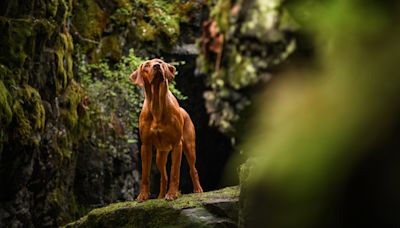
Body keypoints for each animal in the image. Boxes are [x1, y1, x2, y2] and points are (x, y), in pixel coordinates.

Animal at [130, 58, 203, 201]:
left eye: (160, 62)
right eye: (146, 65)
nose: (157, 66)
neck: (157, 106)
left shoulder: (177, 145)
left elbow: (174, 172)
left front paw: (172, 194)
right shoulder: (145, 146)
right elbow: (145, 175)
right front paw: (143, 196)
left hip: (189, 147)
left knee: (193, 169)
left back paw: (198, 190)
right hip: (160, 155)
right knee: (164, 176)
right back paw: (160, 196)